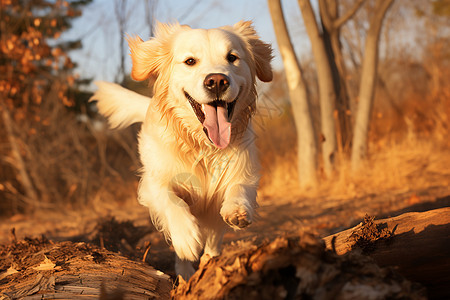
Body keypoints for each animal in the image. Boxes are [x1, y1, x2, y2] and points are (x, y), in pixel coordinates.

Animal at [91, 21, 272, 278]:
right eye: (190, 61)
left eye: (232, 57)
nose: (217, 81)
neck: (203, 146)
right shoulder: (153, 183)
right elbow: (170, 199)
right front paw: (186, 236)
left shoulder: (243, 170)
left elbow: (238, 188)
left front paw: (236, 210)